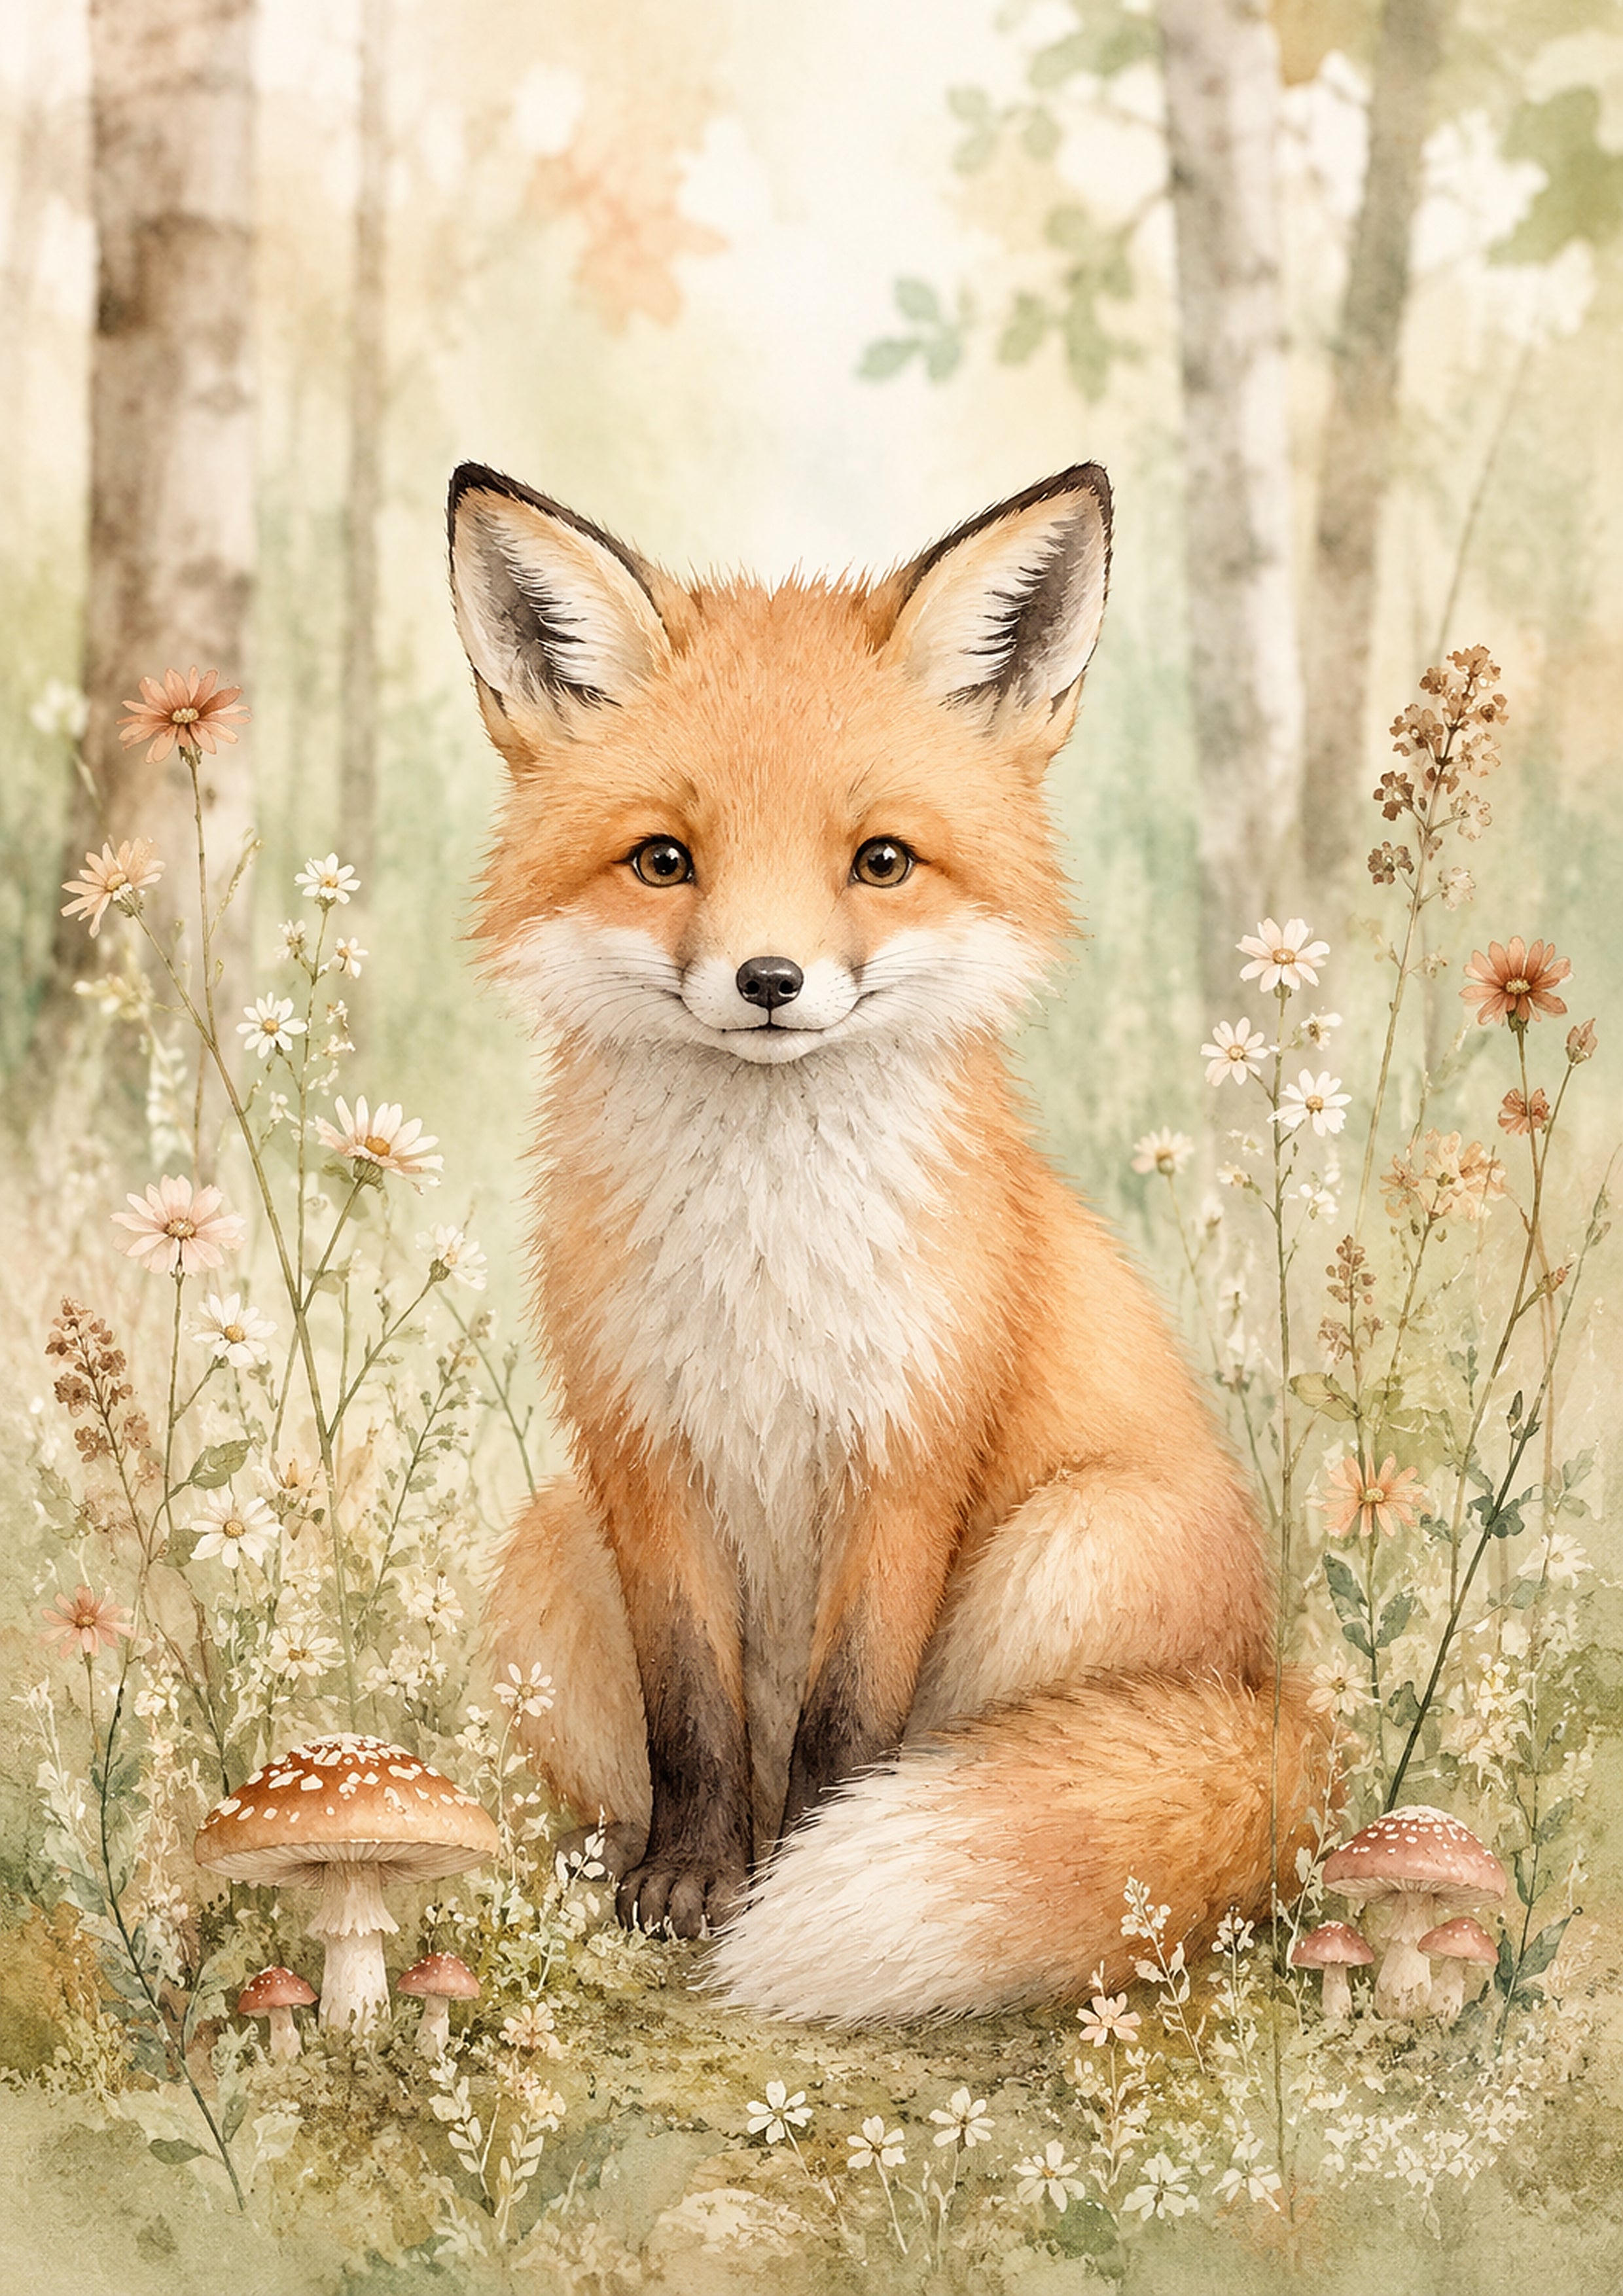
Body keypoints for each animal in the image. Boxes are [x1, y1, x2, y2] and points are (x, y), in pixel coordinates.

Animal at [447, 457, 1331, 2025]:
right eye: (663, 859)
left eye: (881, 861)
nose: (769, 979)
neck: (764, 1266)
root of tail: (1275, 1701)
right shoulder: (643, 1448)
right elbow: (693, 1717)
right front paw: (692, 1879)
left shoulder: (910, 1447)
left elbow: (845, 1716)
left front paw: (793, 1874)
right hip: (548, 1552)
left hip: (1070, 1547)